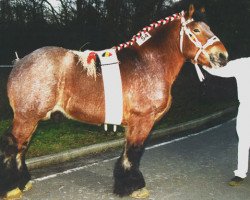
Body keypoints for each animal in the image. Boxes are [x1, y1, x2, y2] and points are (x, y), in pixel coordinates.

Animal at [0, 3, 229, 199]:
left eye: (209, 28)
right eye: (196, 30)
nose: (222, 56)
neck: (148, 64)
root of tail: (20, 62)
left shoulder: (135, 124)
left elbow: (128, 152)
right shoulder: (142, 121)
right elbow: (134, 153)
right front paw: (134, 186)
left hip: (32, 118)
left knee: (21, 147)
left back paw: (22, 182)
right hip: (26, 117)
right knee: (13, 146)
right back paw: (11, 188)